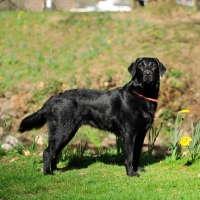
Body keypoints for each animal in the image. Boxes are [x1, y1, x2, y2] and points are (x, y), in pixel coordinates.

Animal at [19, 57, 166, 177]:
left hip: (65, 133)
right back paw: (47, 173)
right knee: (47, 152)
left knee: (54, 152)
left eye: (153, 66)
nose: (147, 73)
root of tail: (54, 98)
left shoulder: (141, 134)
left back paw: (55, 170)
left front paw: (137, 169)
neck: (142, 95)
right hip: (63, 131)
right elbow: (129, 156)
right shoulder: (129, 134)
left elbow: (137, 154)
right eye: (141, 66)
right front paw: (131, 173)